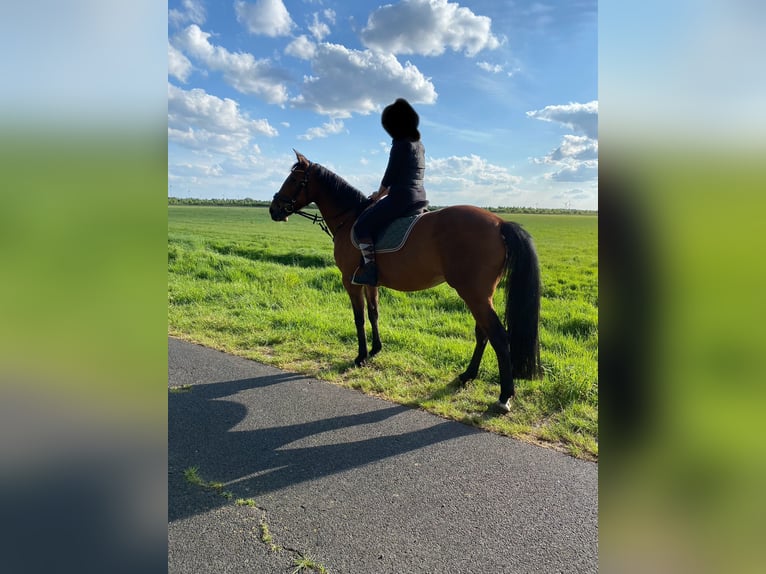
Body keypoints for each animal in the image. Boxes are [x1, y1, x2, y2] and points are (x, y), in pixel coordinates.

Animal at [272, 152, 544, 414]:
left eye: (294, 179)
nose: (274, 209)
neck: (349, 218)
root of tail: (500, 223)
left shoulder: (350, 281)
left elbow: (359, 318)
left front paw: (361, 356)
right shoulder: (370, 282)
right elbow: (374, 313)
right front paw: (375, 349)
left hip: (474, 294)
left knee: (498, 336)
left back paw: (504, 396)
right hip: (480, 295)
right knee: (483, 333)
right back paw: (467, 376)